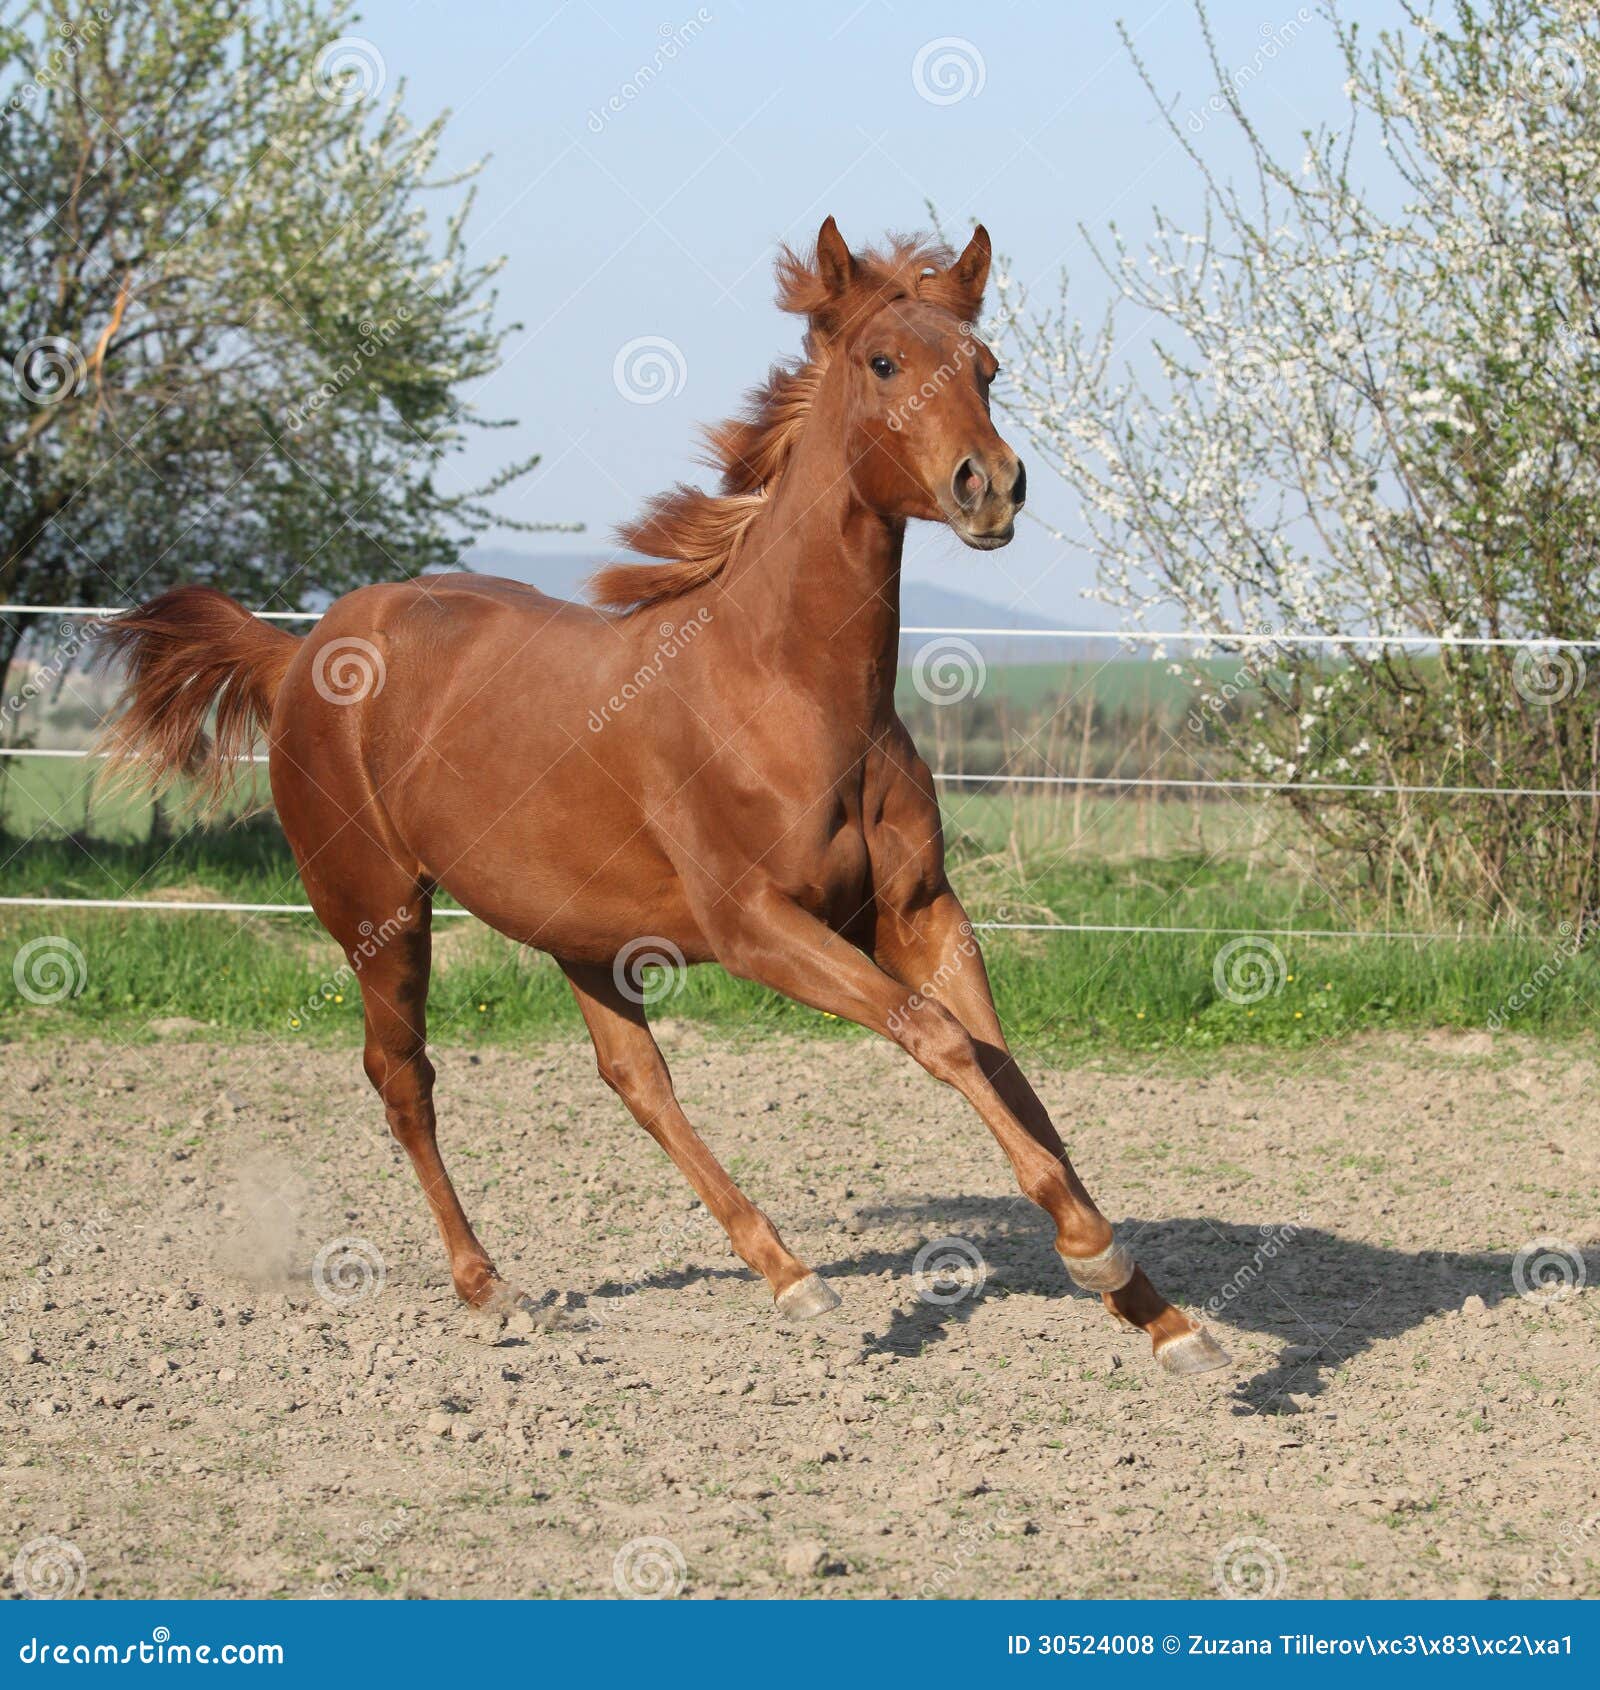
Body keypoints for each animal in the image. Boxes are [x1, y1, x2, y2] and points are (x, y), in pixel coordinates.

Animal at [99, 218, 1229, 1377]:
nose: (989, 485)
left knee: (632, 1078)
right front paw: (1097, 1258)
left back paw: (787, 1273)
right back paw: (490, 1286)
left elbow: (1008, 1071)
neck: (788, 690)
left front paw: (1156, 1310)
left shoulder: (919, 913)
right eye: (883, 362)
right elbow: (941, 1039)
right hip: (377, 908)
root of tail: (300, 652)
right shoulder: (759, 927)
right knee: (403, 1077)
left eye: (987, 368)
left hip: (579, 930)